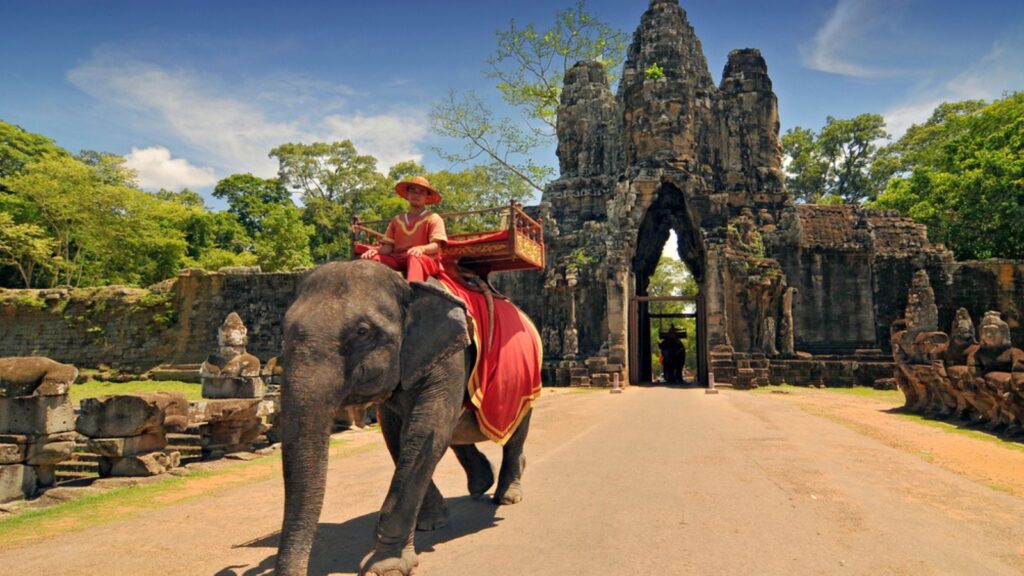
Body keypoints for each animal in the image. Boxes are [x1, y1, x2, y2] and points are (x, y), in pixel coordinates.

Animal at [275, 260, 534, 576]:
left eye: (363, 331)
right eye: (283, 330)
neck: (406, 282)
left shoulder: (451, 358)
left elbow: (425, 432)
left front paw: (386, 566)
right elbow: (399, 436)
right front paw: (431, 523)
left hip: (524, 383)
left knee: (514, 434)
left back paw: (508, 495)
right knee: (456, 431)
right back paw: (480, 483)